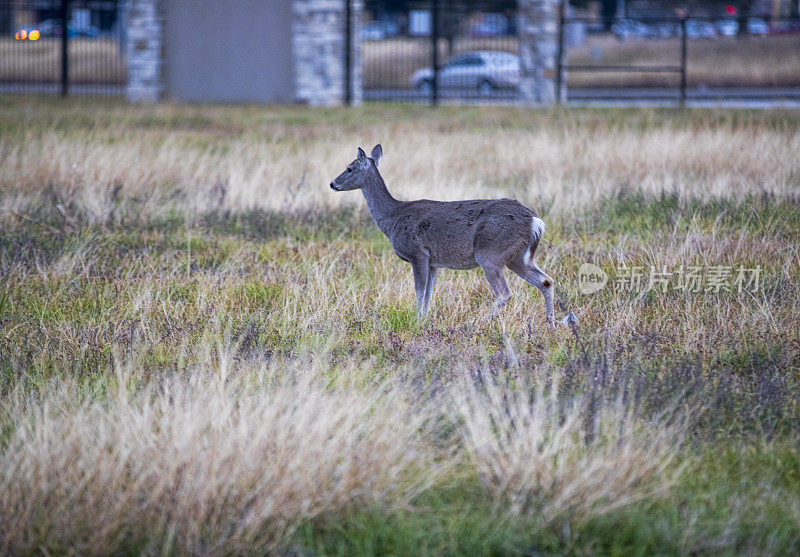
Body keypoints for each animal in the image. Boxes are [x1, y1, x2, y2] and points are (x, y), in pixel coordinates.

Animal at [328, 144, 552, 326]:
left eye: (349, 168)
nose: (332, 184)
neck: (393, 218)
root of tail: (535, 221)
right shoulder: (433, 262)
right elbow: (428, 294)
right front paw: (424, 321)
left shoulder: (418, 253)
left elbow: (419, 292)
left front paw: (417, 321)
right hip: (517, 256)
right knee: (546, 281)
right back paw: (551, 323)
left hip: (491, 252)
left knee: (504, 293)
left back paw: (477, 323)